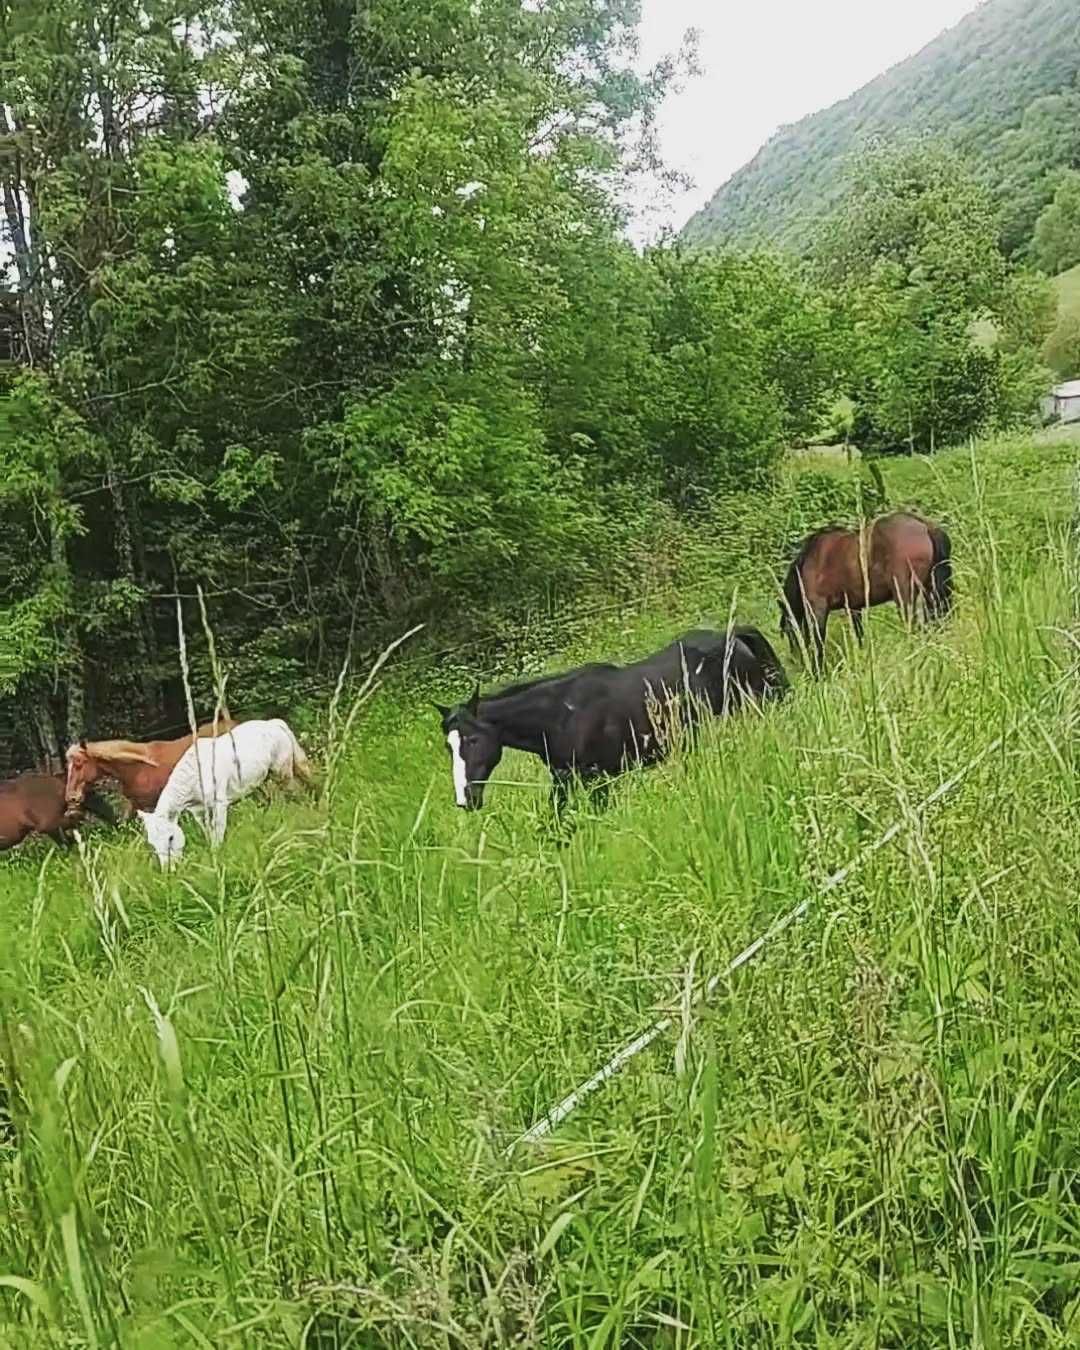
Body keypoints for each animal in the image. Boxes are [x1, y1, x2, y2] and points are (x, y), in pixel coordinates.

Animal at [137, 719, 313, 868]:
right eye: (152, 843)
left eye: (171, 838)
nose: (169, 869)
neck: (197, 774)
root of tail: (275, 723)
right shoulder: (199, 811)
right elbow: (208, 830)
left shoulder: (219, 804)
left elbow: (218, 829)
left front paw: (218, 853)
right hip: (266, 778)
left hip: (282, 771)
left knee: (296, 790)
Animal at [432, 626, 788, 813]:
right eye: (449, 747)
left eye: (473, 740)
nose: (465, 800)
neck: (561, 715)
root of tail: (733, 636)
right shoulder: (564, 780)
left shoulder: (599, 780)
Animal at [780, 512, 952, 670]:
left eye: (788, 631)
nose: (795, 663)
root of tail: (926, 527)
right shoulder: (854, 608)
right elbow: (859, 635)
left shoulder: (818, 609)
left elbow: (818, 642)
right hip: (931, 592)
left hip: (906, 597)